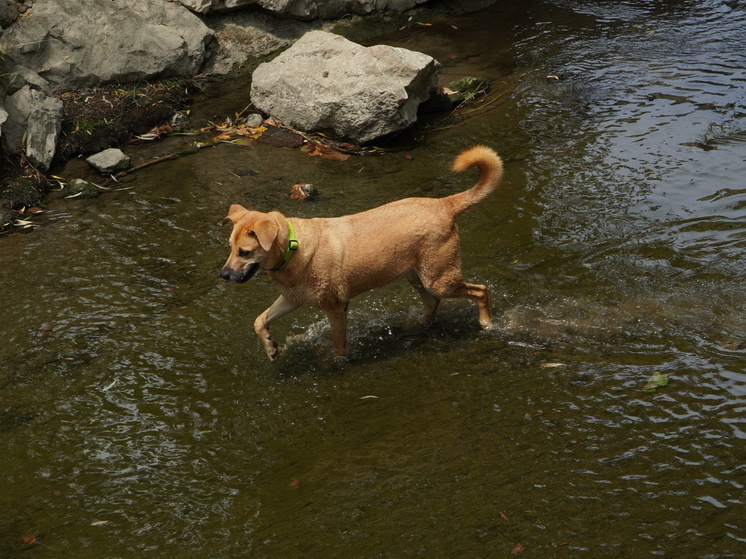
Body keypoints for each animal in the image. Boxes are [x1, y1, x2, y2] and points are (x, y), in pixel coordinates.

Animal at [218, 145, 502, 364]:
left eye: (244, 252)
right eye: (230, 247)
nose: (223, 275)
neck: (293, 249)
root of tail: (444, 204)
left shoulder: (335, 308)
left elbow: (339, 347)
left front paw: (336, 363)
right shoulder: (292, 298)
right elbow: (259, 320)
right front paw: (271, 348)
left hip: (439, 278)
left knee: (481, 290)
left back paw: (486, 323)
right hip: (418, 277)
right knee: (432, 304)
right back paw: (413, 327)